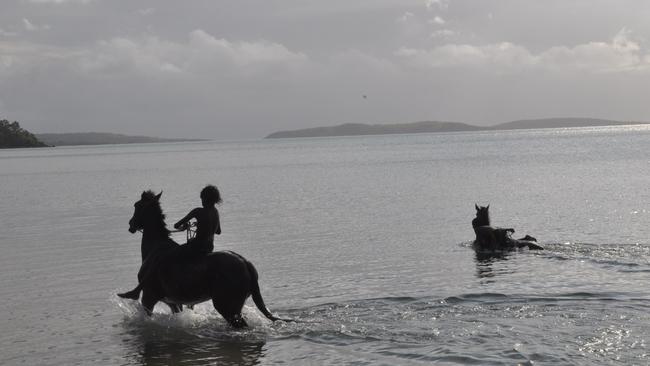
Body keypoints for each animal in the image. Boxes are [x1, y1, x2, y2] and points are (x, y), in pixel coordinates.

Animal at [126, 190, 286, 328]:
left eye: (137, 205)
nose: (130, 225)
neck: (155, 246)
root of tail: (245, 263)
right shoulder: (174, 302)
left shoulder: (149, 297)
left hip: (227, 307)